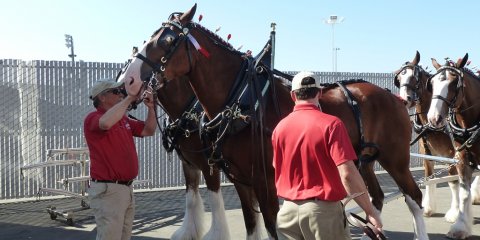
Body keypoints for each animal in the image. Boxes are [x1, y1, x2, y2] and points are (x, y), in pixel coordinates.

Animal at [119, 4, 428, 239]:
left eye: (168, 41)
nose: (128, 81)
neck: (242, 101)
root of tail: (394, 97)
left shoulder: (261, 180)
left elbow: (269, 225)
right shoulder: (239, 179)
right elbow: (250, 225)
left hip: (396, 159)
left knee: (414, 198)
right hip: (364, 160)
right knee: (376, 197)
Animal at [394, 51, 462, 219]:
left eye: (415, 78)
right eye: (399, 79)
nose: (404, 100)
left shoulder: (452, 154)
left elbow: (453, 180)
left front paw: (455, 212)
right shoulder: (426, 153)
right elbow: (428, 178)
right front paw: (428, 208)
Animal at [430, 54, 480, 238]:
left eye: (454, 83)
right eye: (432, 83)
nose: (434, 118)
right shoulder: (461, 158)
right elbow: (464, 193)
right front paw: (460, 227)